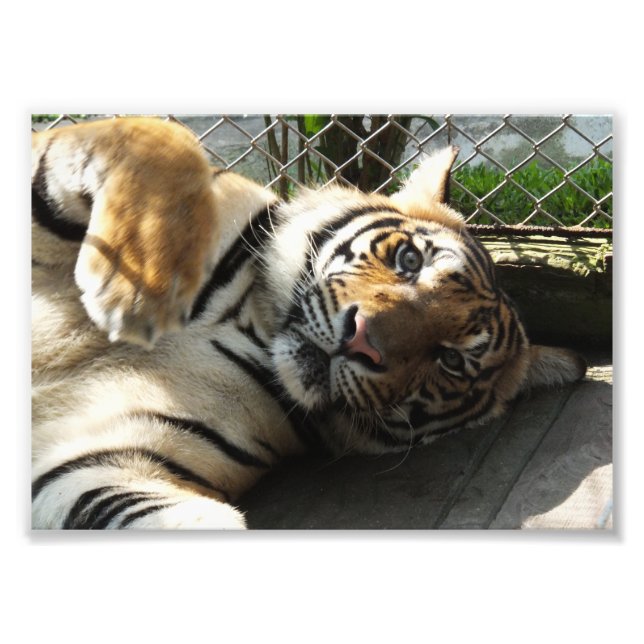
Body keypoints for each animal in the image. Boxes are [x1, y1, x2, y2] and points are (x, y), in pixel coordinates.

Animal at [31, 116, 587, 529]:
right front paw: (130, 288)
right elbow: (164, 140)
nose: (363, 342)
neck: (257, 329)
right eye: (409, 260)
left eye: (451, 360)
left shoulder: (94, 461)